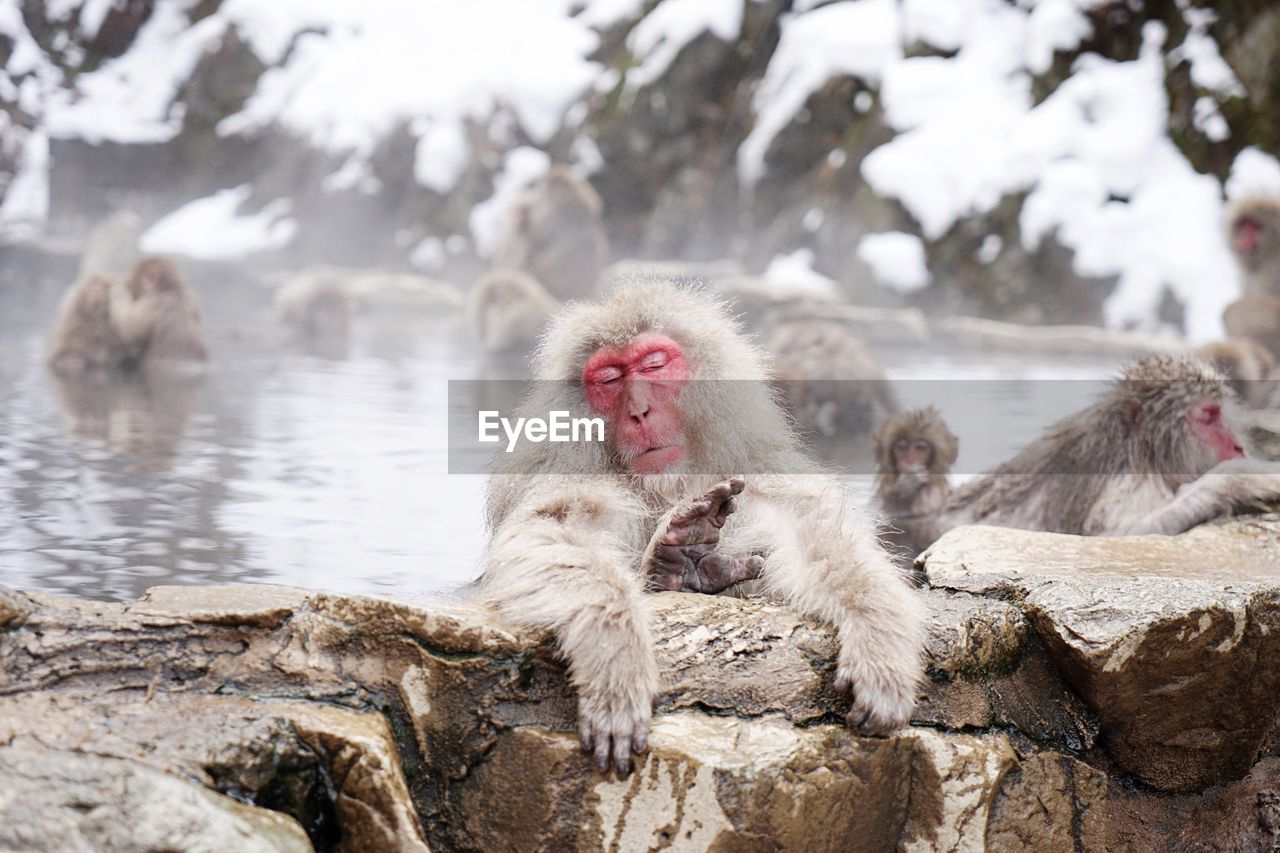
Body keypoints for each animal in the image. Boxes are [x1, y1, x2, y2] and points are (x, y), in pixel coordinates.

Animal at [48, 256, 207, 376]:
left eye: (131, 285)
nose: (127, 286)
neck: (170, 290)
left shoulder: (155, 303)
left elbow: (128, 329)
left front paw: (115, 290)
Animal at [476, 281, 926, 773]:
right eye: (609, 378)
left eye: (654, 364)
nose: (639, 411)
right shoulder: (566, 469)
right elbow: (555, 532)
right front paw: (616, 655)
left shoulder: (755, 471)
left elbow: (811, 534)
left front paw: (879, 642)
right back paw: (675, 564)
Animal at [931, 356, 1280, 535]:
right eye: (1208, 417)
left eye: (1220, 412)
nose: (1237, 446)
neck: (1140, 454)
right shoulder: (1124, 486)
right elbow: (1122, 535)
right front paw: (1248, 478)